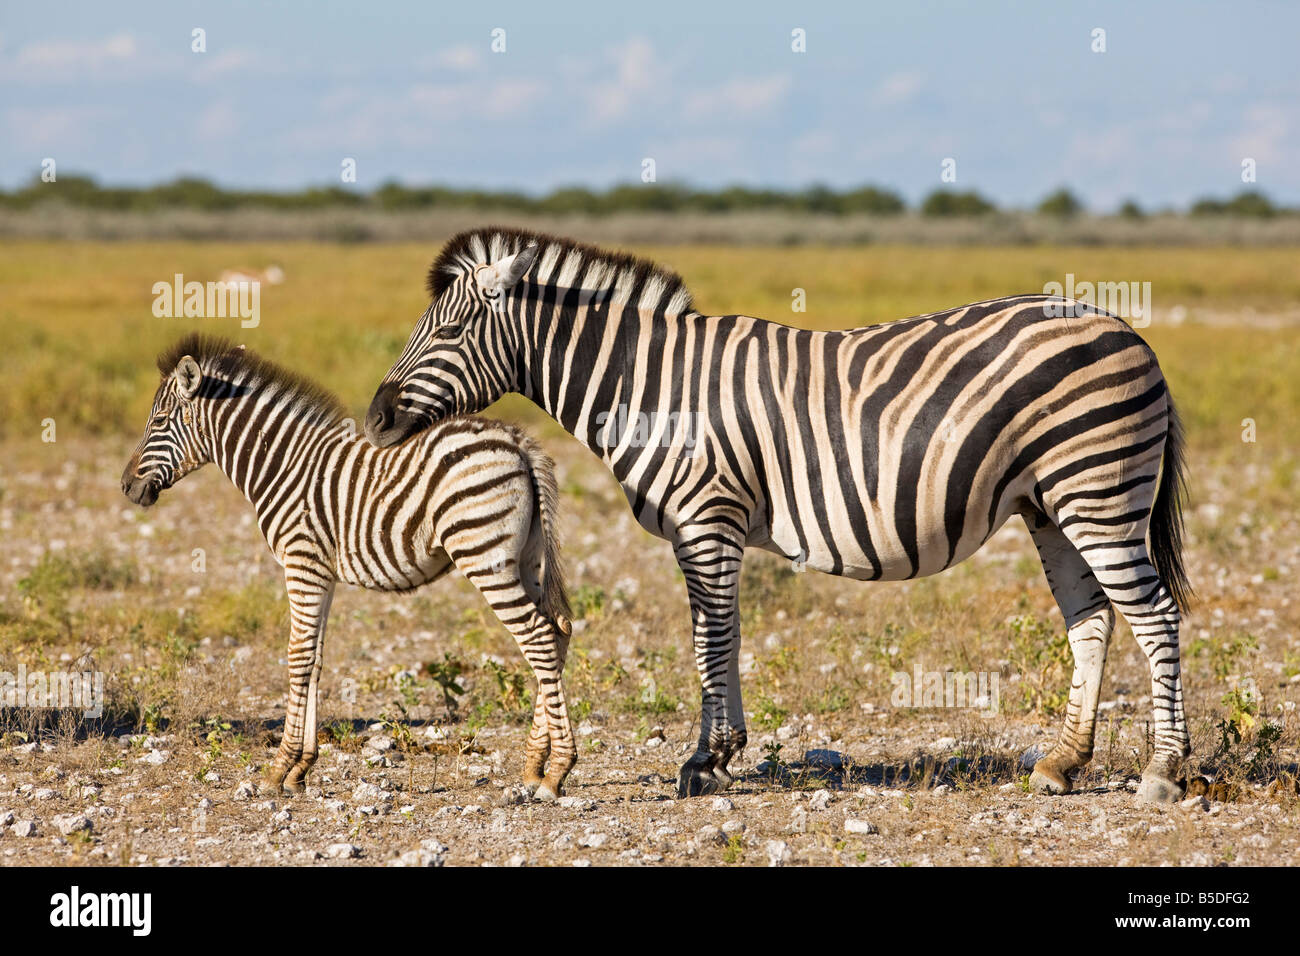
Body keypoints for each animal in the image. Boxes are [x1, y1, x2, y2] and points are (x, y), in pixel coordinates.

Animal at [121, 333, 576, 798]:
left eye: (159, 420)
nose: (126, 487)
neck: (281, 465)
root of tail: (519, 442)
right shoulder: (321, 573)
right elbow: (315, 659)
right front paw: (301, 768)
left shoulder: (301, 563)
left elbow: (297, 656)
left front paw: (278, 769)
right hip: (526, 559)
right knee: (557, 634)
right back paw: (534, 765)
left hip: (484, 555)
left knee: (538, 637)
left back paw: (557, 769)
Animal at [364, 227, 1193, 804]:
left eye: (445, 331)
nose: (375, 417)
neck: (650, 387)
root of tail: (1130, 332)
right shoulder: (710, 527)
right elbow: (724, 634)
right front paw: (726, 751)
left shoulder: (706, 515)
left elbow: (707, 639)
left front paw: (704, 761)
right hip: (1050, 504)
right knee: (1092, 620)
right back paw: (1062, 764)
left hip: (1097, 493)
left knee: (1154, 617)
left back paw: (1164, 771)